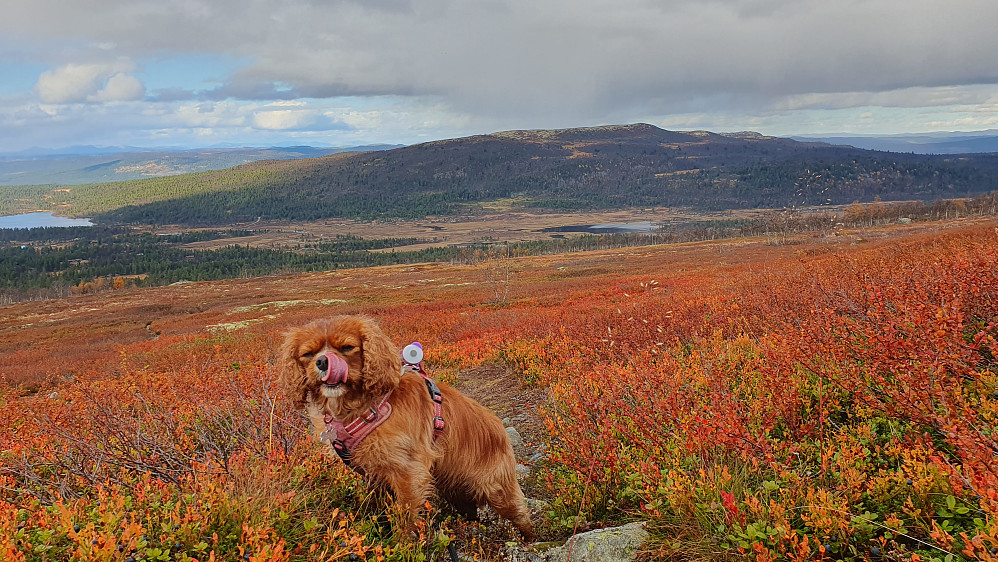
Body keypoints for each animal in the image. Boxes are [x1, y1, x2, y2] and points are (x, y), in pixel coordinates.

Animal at [278, 316, 536, 540]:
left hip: (496, 488)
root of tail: (500, 428)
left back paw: (530, 539)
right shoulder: (374, 474)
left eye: (347, 347)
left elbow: (405, 518)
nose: (323, 362)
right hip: (457, 489)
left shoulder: (408, 472)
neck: (363, 408)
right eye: (307, 354)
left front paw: (403, 544)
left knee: (521, 514)